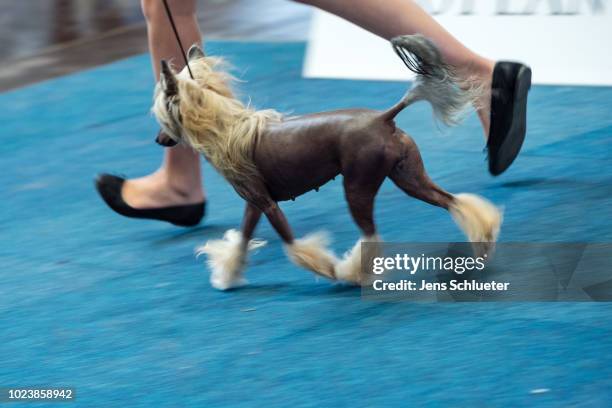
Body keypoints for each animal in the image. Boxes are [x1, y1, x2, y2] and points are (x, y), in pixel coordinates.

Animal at [151, 34, 500, 290]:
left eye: (162, 114)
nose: (158, 139)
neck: (226, 129)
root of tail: (383, 118)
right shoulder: (254, 204)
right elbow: (244, 238)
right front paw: (228, 273)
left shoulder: (267, 204)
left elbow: (293, 245)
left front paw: (327, 269)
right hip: (409, 178)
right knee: (453, 201)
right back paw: (481, 243)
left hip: (358, 185)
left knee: (371, 235)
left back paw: (353, 272)